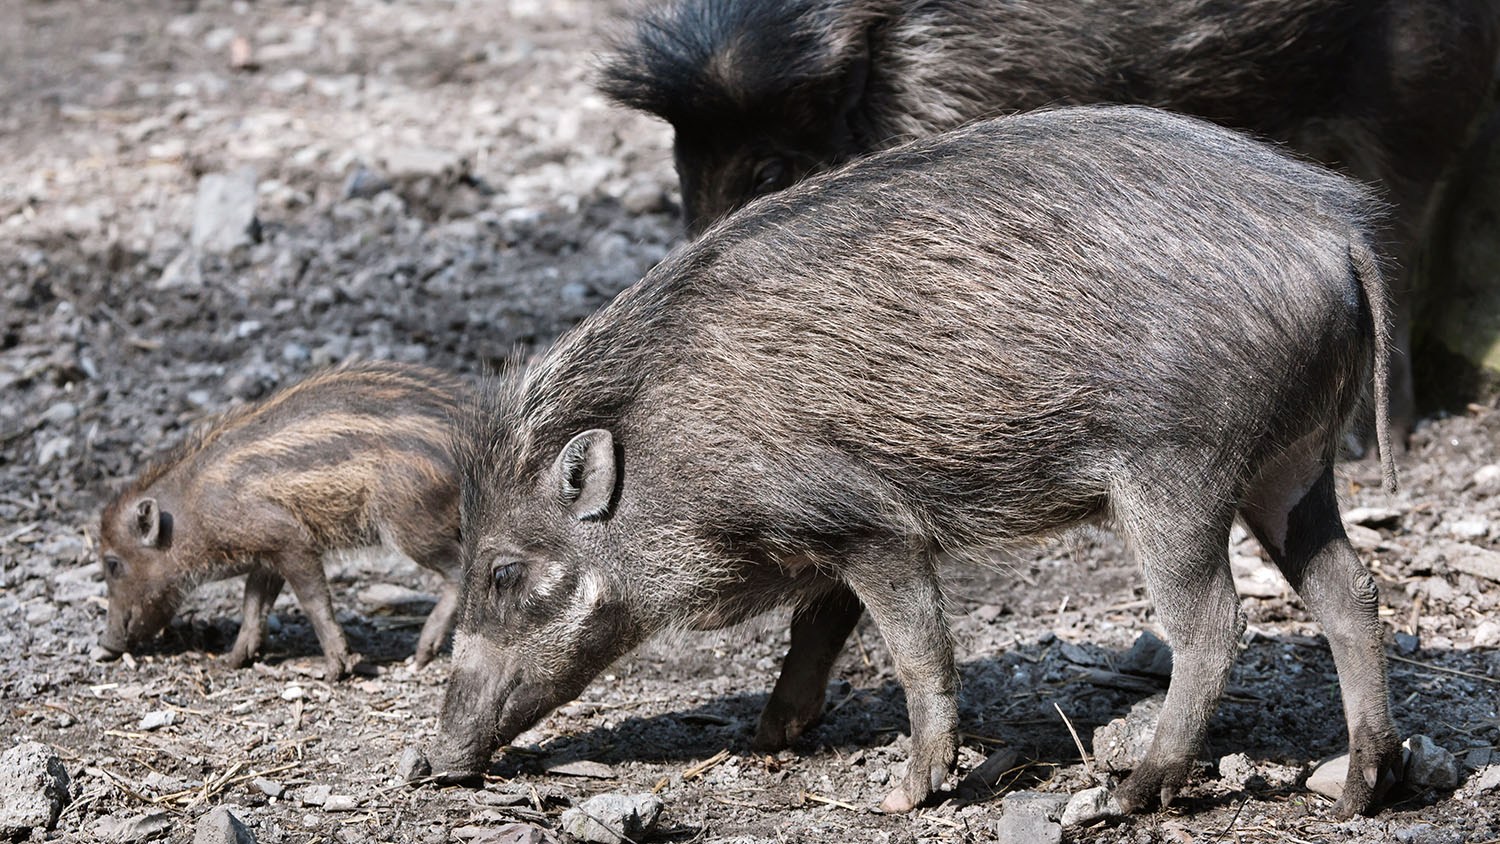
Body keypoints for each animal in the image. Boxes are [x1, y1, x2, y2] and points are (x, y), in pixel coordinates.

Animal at [97, 362, 465, 680]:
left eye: (113, 564)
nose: (105, 645)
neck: (191, 510)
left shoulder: (290, 539)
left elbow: (313, 600)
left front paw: (336, 669)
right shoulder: (267, 552)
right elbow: (253, 602)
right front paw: (232, 661)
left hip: (414, 522)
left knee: (458, 572)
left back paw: (421, 655)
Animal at [426, 104, 1404, 821]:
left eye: (503, 571)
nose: (428, 764)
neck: (674, 446)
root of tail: (1336, 229)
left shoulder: (870, 523)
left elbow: (914, 648)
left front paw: (901, 796)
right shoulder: (826, 537)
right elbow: (818, 628)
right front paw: (770, 737)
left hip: (1178, 471)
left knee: (1213, 622)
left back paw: (1132, 792)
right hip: (1291, 465)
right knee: (1351, 593)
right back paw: (1356, 791)